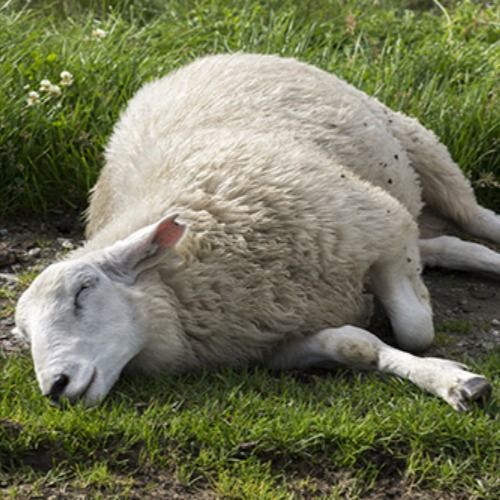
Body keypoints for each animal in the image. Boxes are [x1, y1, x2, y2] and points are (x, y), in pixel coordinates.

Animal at [13, 52, 498, 410]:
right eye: (24, 335)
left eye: (83, 291)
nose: (55, 387)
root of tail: (203, 58)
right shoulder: (271, 342)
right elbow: (355, 345)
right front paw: (447, 379)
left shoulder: (384, 226)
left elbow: (416, 329)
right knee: (443, 244)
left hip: (417, 143)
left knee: (473, 219)